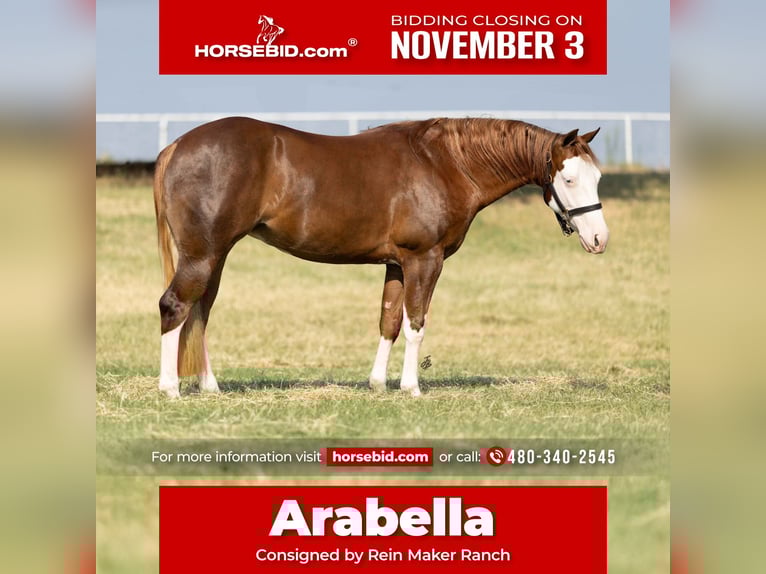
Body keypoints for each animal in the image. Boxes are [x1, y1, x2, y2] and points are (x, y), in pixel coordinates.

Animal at [153, 117, 608, 398]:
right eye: (569, 179)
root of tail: (176, 146)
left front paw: (377, 383)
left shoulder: (396, 264)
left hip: (214, 256)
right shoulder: (424, 260)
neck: (446, 164)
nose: (599, 238)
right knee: (175, 306)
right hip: (203, 255)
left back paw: (209, 386)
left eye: (598, 177)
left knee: (200, 313)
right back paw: (170, 388)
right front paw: (411, 387)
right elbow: (416, 324)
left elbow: (389, 321)